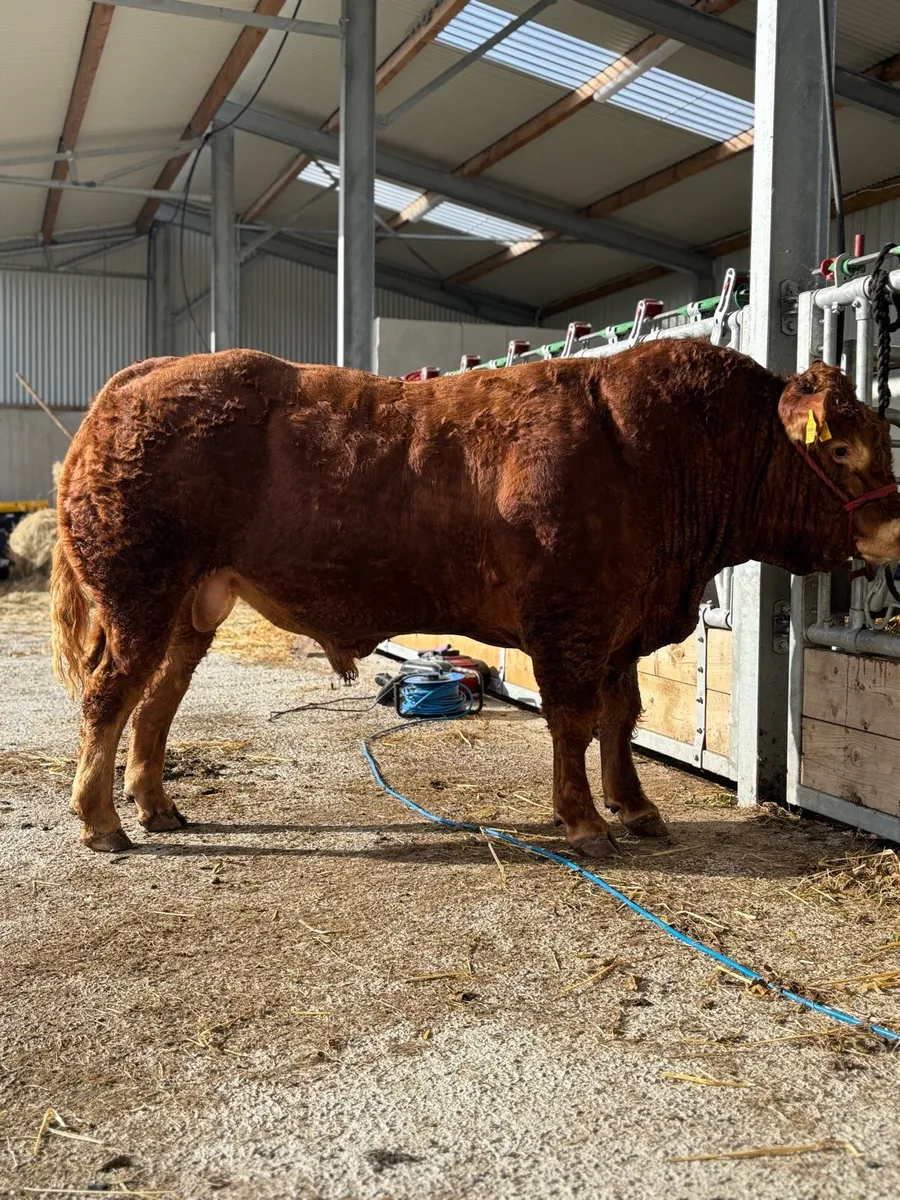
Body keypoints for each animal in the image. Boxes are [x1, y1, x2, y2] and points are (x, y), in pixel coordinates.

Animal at [50, 340, 900, 854]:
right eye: (843, 447)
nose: (896, 525)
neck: (655, 456)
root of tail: (143, 376)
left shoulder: (621, 626)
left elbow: (622, 718)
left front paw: (635, 807)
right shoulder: (570, 620)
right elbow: (574, 721)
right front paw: (584, 820)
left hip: (193, 603)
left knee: (157, 700)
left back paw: (155, 805)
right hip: (139, 594)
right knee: (109, 696)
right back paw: (101, 822)